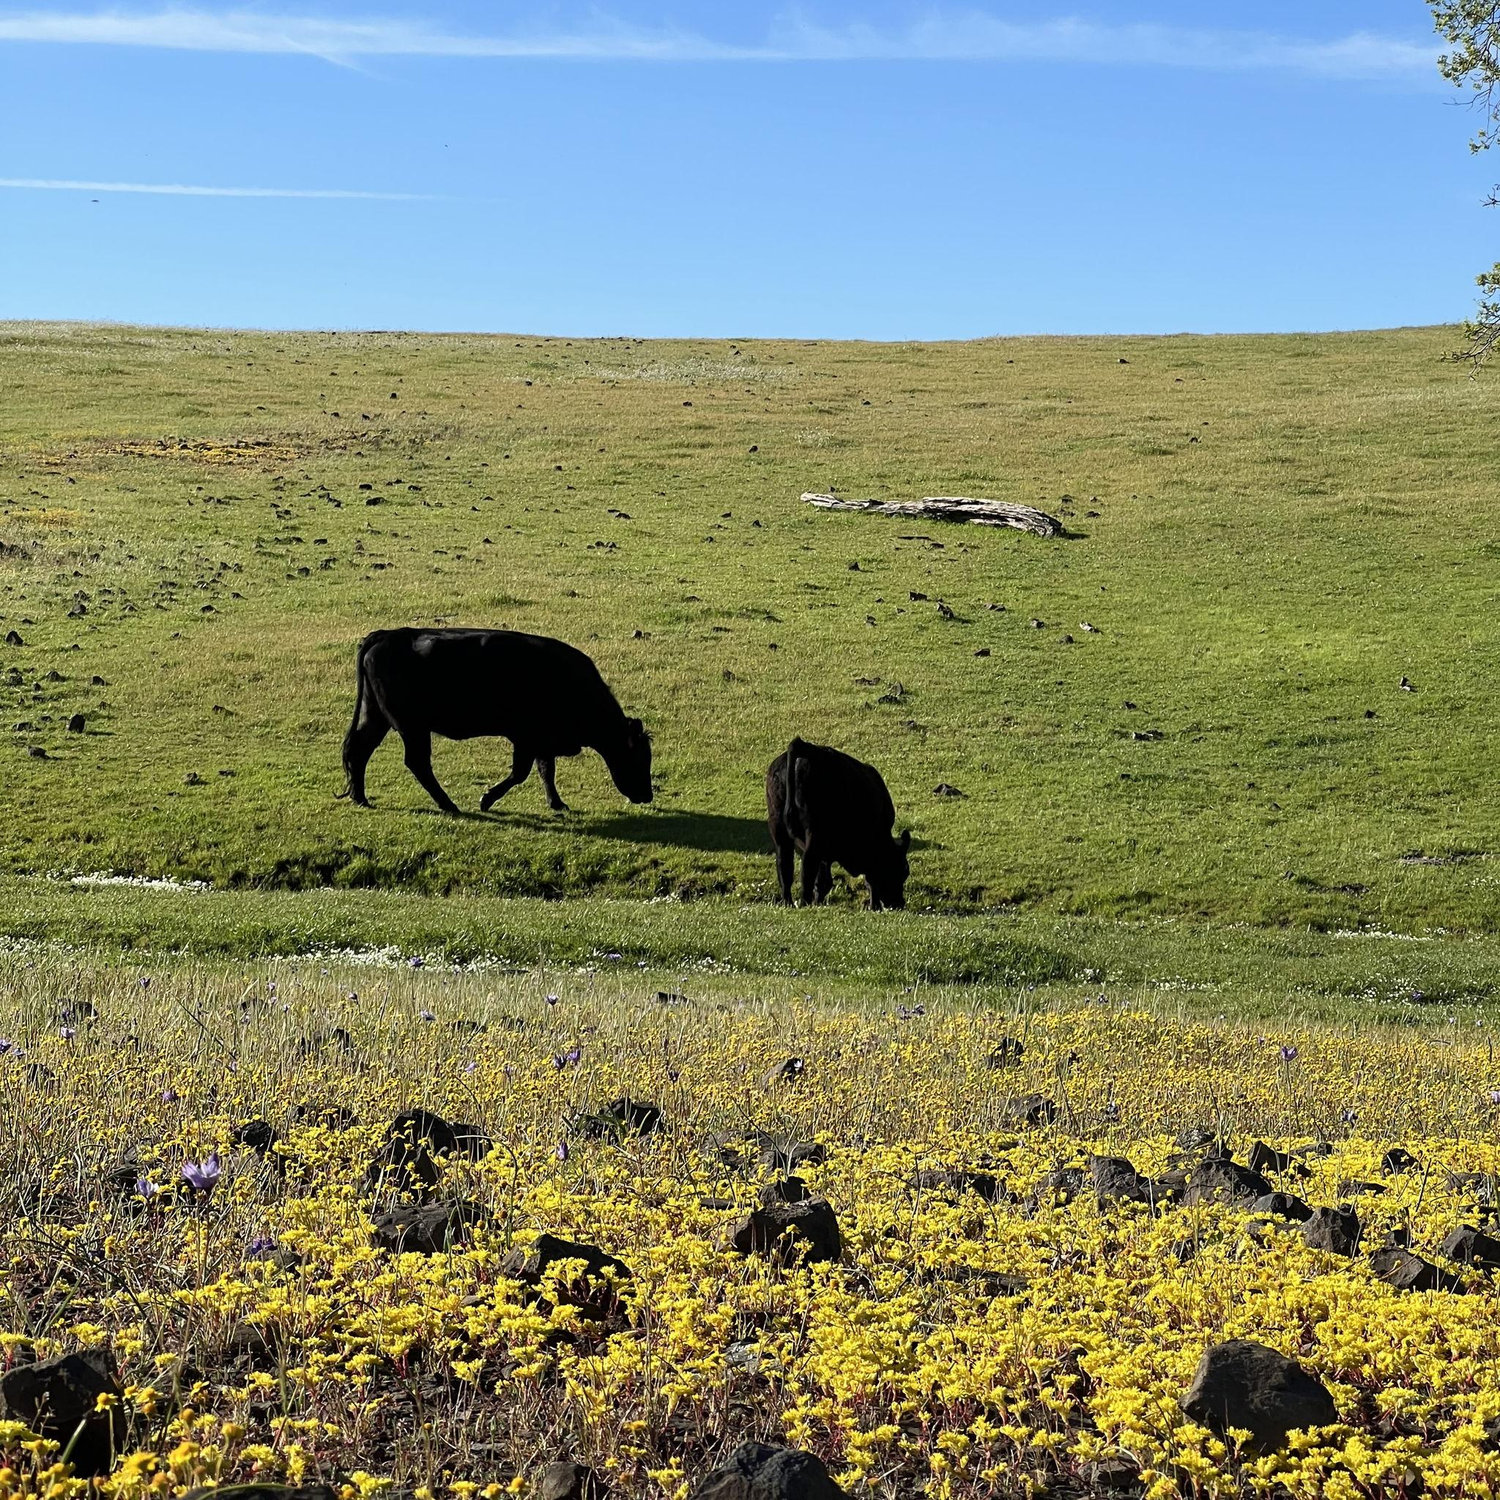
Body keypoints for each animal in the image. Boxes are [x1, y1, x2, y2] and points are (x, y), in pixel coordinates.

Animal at [341, 628, 653, 815]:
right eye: (639, 758)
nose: (647, 795)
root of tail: (387, 635)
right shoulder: (526, 738)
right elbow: (521, 773)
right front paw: (487, 799)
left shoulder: (542, 741)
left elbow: (546, 771)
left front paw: (557, 803)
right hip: (412, 726)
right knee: (417, 763)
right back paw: (449, 805)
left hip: (376, 716)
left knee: (359, 750)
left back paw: (361, 797)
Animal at [766, 737, 910, 909]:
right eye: (903, 871)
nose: (899, 903)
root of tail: (804, 747)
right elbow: (870, 880)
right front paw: (874, 907)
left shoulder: (825, 856)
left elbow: (823, 881)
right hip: (813, 833)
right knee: (806, 869)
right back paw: (805, 903)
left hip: (779, 829)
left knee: (784, 868)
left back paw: (789, 903)